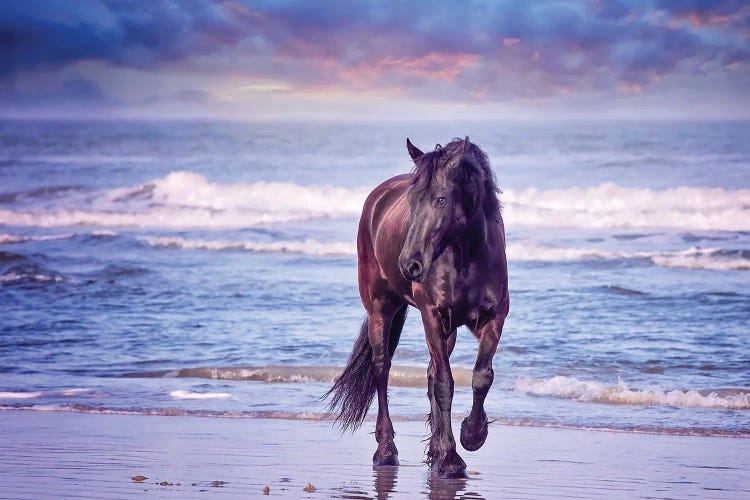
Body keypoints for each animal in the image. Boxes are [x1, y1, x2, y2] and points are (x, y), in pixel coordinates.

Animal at [324, 136, 512, 476]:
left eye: (440, 199)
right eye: (412, 201)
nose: (409, 264)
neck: (466, 257)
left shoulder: (493, 318)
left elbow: (481, 376)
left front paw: (471, 435)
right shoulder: (432, 316)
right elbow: (445, 384)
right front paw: (451, 459)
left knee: (429, 372)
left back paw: (434, 449)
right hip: (380, 309)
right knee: (382, 369)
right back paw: (386, 451)